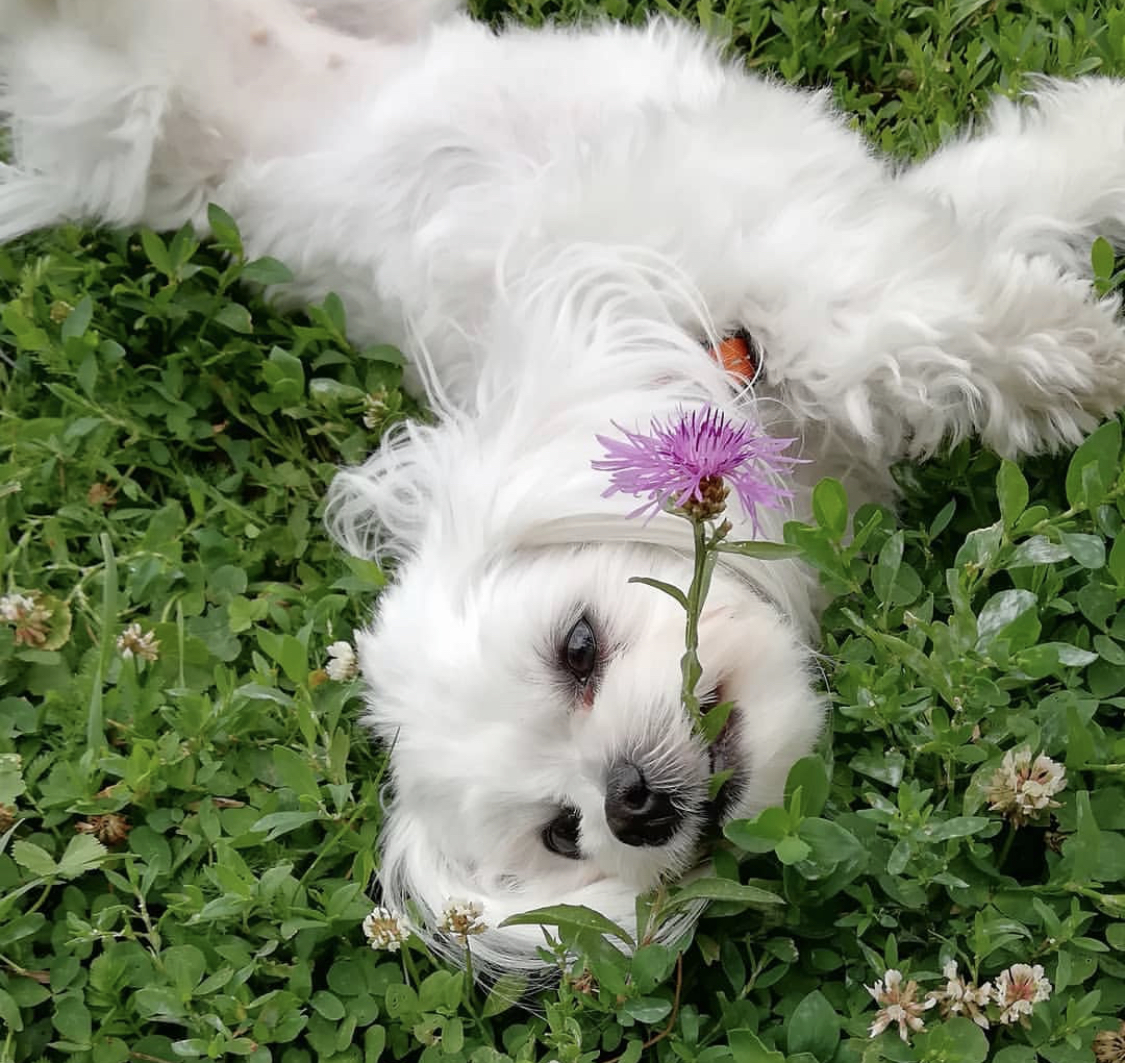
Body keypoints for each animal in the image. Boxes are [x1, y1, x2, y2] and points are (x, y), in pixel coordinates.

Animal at [2, 0, 1125, 976]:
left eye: (578, 647)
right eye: (563, 832)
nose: (631, 800)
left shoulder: (780, 238)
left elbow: (958, 252)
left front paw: (1078, 327)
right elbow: (927, 308)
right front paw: (1079, 359)